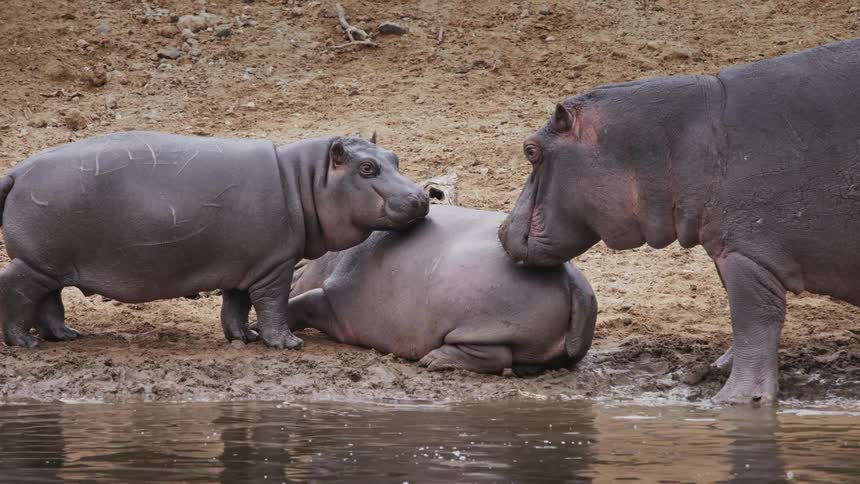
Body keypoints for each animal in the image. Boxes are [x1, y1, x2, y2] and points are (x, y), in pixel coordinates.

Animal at [0, 131, 429, 349]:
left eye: (394, 156)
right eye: (367, 167)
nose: (422, 197)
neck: (305, 180)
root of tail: (17, 171)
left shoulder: (247, 264)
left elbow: (235, 306)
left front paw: (245, 337)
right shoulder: (276, 265)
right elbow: (271, 304)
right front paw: (286, 343)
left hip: (50, 264)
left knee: (48, 301)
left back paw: (66, 336)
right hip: (37, 263)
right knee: (15, 290)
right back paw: (24, 344)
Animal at [286, 204, 597, 375]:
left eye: (297, 265)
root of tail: (572, 279)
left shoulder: (332, 302)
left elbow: (304, 304)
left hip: (480, 324)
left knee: (496, 356)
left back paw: (434, 360)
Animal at [498, 38, 860, 404]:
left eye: (531, 150)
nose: (502, 228)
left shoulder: (747, 252)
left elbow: (754, 321)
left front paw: (733, 400)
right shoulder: (726, 248)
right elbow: (741, 322)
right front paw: (717, 369)